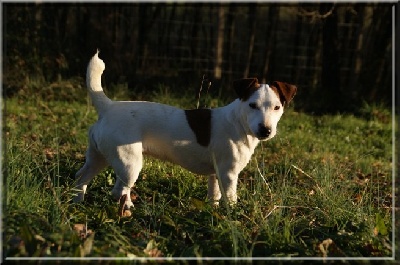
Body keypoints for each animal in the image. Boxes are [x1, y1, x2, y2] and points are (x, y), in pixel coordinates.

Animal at [73, 51, 296, 214]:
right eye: (252, 105)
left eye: (277, 107)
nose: (266, 130)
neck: (238, 122)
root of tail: (108, 108)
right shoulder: (229, 174)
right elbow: (230, 198)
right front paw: (232, 217)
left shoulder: (216, 174)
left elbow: (214, 196)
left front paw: (212, 214)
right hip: (129, 163)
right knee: (119, 191)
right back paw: (126, 210)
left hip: (98, 157)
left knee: (81, 178)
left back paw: (77, 201)